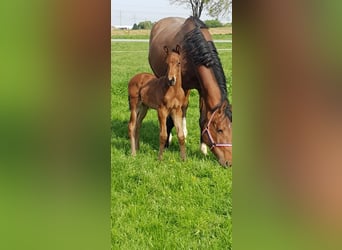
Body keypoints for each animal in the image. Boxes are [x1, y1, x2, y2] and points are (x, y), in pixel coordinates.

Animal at [149, 16, 232, 167]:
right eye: (220, 130)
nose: (229, 162)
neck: (191, 49)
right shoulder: (178, 85)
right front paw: (167, 142)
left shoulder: (201, 89)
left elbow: (202, 118)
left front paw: (203, 149)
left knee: (184, 108)